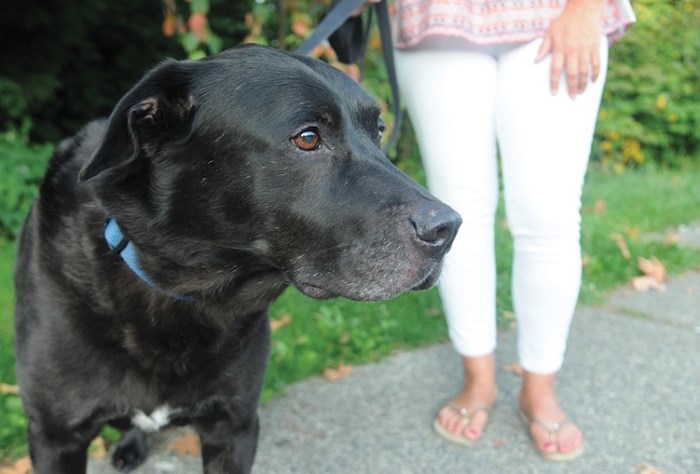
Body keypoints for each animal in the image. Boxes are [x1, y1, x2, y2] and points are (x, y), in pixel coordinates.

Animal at [12, 42, 460, 472]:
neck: (184, 292)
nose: (449, 229)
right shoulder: (55, 437)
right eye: (308, 137)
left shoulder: (235, 426)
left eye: (378, 131)